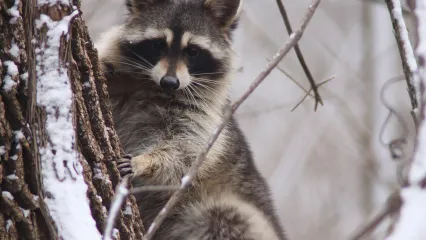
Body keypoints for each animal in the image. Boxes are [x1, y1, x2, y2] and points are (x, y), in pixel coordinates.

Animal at [95, 0, 286, 239]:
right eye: (158, 44)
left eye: (193, 51)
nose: (170, 81)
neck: (156, 87)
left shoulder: (204, 117)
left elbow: (186, 152)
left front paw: (145, 161)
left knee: (224, 216)